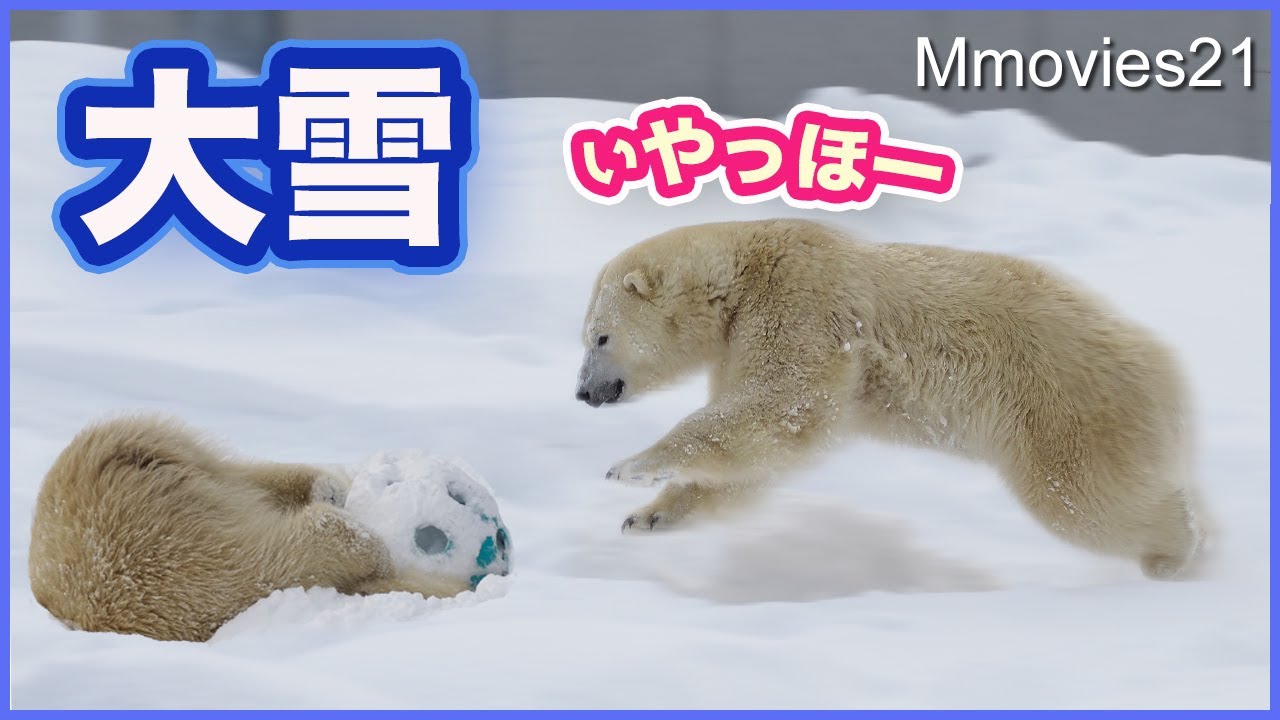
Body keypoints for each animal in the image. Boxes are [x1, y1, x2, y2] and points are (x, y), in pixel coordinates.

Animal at [575, 218, 1209, 580]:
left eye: (600, 336)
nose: (583, 392)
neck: (743, 270)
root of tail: (1166, 371)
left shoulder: (801, 303)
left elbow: (780, 403)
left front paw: (631, 466)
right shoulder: (744, 339)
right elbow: (765, 450)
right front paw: (649, 516)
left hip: (1065, 410)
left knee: (1080, 498)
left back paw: (1178, 550)